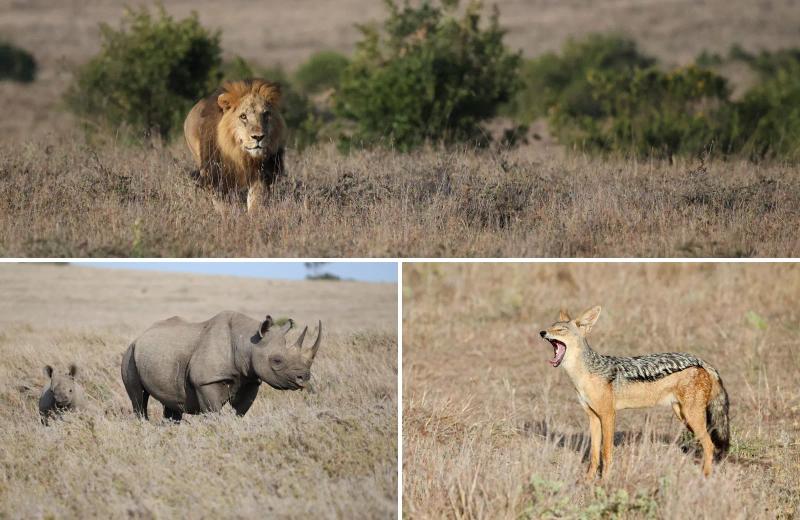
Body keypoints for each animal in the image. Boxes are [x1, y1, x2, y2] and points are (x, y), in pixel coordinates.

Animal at [121, 311, 322, 421]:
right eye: (277, 361)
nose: (304, 377)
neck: (248, 342)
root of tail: (140, 336)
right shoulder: (206, 381)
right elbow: (214, 412)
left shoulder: (250, 379)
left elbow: (240, 412)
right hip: (130, 353)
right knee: (138, 398)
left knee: (171, 402)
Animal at [183, 78, 287, 212]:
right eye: (243, 116)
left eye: (266, 114)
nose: (258, 137)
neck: (240, 154)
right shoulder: (216, 175)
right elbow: (222, 204)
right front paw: (229, 214)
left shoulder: (261, 173)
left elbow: (256, 199)